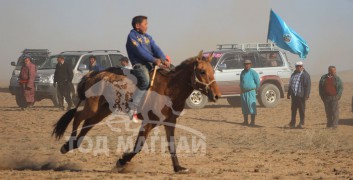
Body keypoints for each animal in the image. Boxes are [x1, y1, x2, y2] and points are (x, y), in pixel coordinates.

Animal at [51, 51, 220, 173]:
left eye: (212, 70)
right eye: (202, 71)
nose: (217, 95)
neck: (169, 88)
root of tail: (93, 74)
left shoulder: (170, 121)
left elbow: (172, 145)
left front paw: (178, 168)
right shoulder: (149, 122)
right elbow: (138, 145)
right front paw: (121, 161)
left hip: (102, 111)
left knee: (87, 123)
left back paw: (73, 144)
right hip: (92, 107)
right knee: (77, 116)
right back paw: (68, 144)